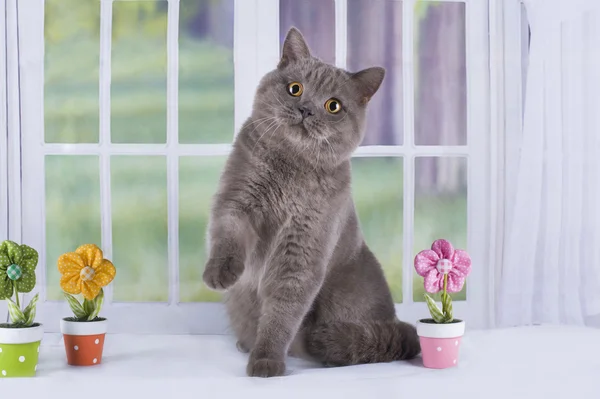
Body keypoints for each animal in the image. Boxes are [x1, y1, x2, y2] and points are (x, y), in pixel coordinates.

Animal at [204, 28, 420, 378]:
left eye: (333, 106)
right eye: (295, 88)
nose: (306, 109)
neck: (290, 169)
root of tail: (395, 322)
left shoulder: (304, 245)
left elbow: (283, 311)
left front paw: (266, 361)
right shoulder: (238, 198)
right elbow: (228, 235)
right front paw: (220, 273)